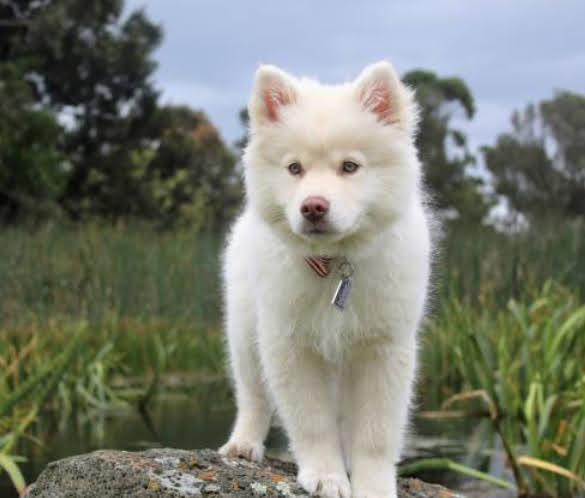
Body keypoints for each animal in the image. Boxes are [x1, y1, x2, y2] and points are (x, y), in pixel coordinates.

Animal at [218, 61, 428, 498]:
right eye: (294, 168)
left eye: (349, 166)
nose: (313, 206)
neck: (336, 264)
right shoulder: (289, 345)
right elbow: (311, 421)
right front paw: (327, 477)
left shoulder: (383, 349)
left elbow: (375, 434)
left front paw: (372, 486)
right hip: (244, 332)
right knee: (253, 396)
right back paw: (243, 444)